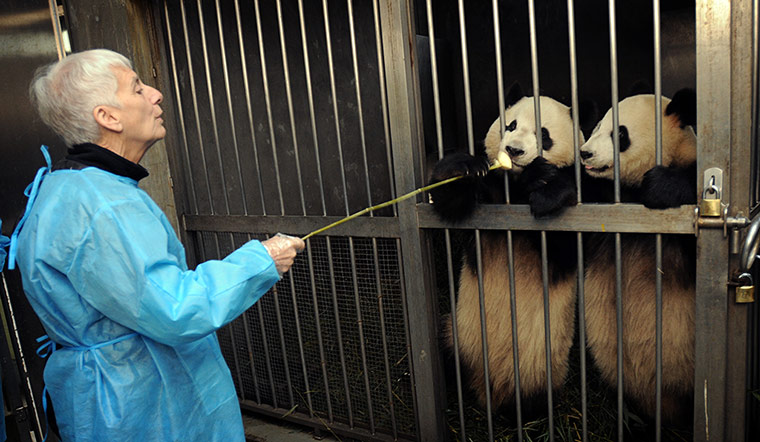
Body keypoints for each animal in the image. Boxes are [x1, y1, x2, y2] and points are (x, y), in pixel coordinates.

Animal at [428, 83, 592, 418]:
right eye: (511, 125)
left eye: (544, 134)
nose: (514, 151)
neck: (515, 184)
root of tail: (493, 392)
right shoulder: (489, 197)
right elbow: (452, 204)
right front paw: (463, 167)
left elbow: (566, 246)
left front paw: (545, 184)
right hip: (459, 330)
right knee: (445, 344)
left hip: (552, 361)